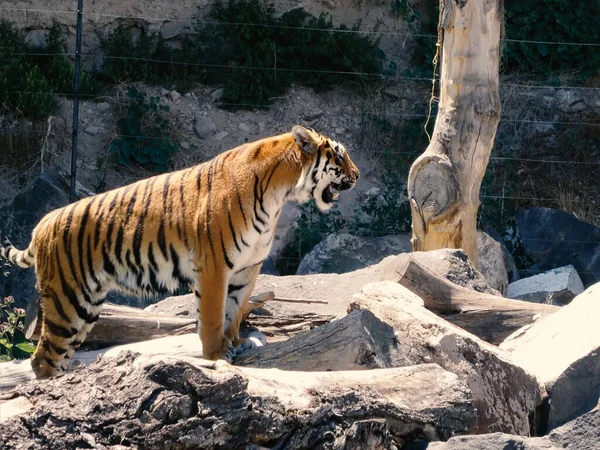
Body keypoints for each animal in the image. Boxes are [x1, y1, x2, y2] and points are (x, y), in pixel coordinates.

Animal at [1, 125, 360, 380]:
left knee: (58, 354)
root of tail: (42, 223)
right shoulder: (214, 265)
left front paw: (237, 342)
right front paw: (216, 354)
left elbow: (235, 311)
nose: (357, 176)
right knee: (43, 359)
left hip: (86, 306)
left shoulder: (247, 268)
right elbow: (213, 314)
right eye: (339, 155)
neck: (280, 195)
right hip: (68, 299)